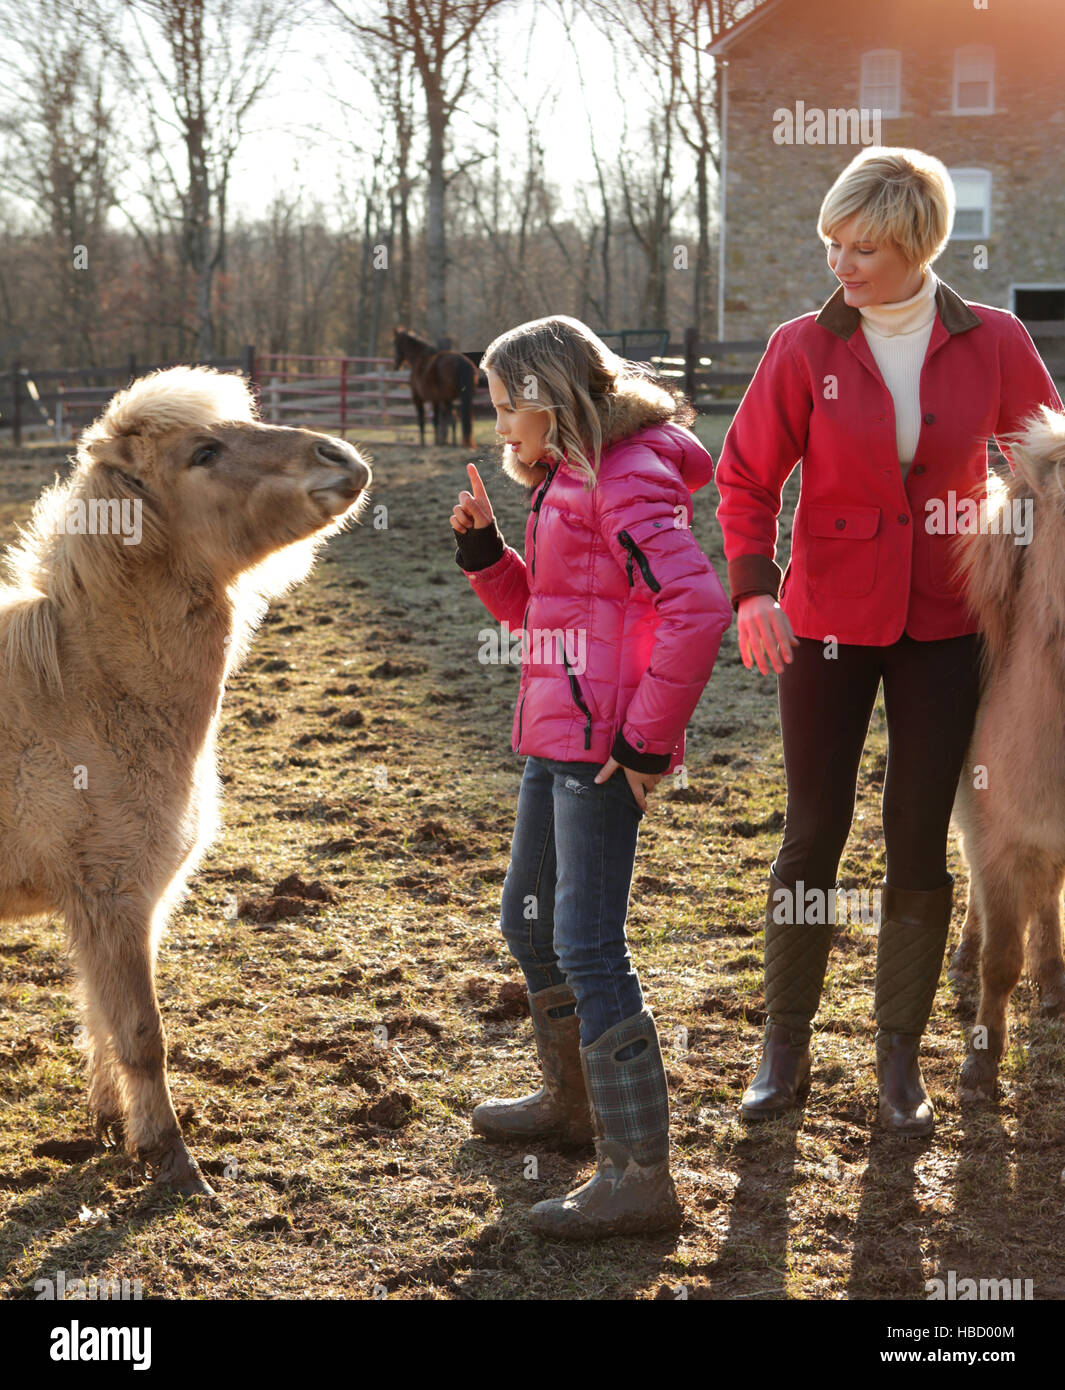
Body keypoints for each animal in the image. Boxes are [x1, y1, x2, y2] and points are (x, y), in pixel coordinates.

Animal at [0, 369, 372, 1195]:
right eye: (204, 452)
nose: (342, 457)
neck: (83, 692)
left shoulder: (108, 912)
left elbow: (99, 1020)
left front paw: (115, 1128)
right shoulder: (116, 901)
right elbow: (141, 1034)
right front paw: (172, 1161)